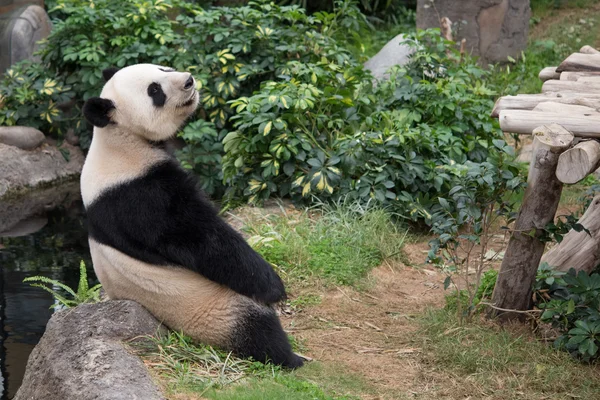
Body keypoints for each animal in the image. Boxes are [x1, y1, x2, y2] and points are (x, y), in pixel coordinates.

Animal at [81, 63, 304, 368]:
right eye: (154, 91)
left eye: (162, 68)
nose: (188, 81)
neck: (121, 139)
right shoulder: (137, 195)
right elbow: (200, 239)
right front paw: (273, 287)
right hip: (209, 307)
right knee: (257, 329)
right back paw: (291, 358)